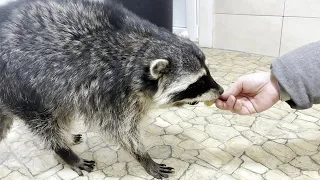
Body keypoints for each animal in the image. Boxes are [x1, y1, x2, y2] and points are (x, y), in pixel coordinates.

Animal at [0, 0, 224, 178]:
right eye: (197, 83)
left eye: (207, 73)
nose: (221, 90)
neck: (141, 45)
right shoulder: (108, 91)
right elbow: (121, 129)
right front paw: (143, 156)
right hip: (21, 85)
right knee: (43, 122)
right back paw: (63, 149)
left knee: (60, 111)